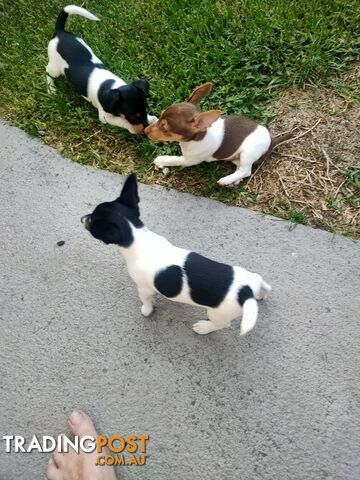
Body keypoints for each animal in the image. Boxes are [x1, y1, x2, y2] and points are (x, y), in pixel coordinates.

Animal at [46, 4, 156, 134]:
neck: (114, 86)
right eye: (134, 117)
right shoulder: (105, 117)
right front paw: (133, 129)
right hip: (55, 68)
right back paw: (51, 89)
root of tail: (60, 32)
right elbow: (122, 121)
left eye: (146, 110)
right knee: (47, 71)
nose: (146, 130)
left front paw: (151, 118)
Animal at [81, 174, 272, 336]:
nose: (82, 218)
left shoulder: (144, 288)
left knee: (221, 324)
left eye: (92, 222)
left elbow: (146, 301)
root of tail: (246, 292)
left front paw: (146, 311)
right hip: (253, 279)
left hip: (218, 313)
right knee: (264, 284)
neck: (137, 234)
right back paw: (261, 294)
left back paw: (204, 327)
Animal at [144, 82, 292, 186]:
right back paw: (233, 181)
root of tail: (272, 140)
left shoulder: (189, 160)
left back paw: (226, 180)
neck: (197, 138)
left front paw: (161, 159)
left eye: (164, 129)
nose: (145, 131)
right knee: (241, 169)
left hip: (248, 152)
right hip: (237, 157)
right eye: (160, 115)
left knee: (246, 171)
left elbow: (174, 159)